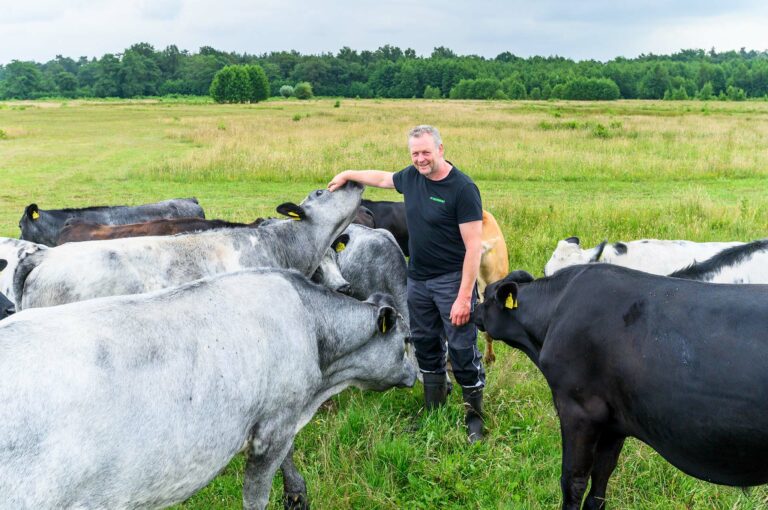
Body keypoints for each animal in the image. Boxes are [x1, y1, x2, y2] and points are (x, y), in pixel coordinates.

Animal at [476, 264, 768, 508]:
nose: (472, 312)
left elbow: (573, 481)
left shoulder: (577, 409)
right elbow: (600, 482)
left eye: (486, 296)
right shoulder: (614, 421)